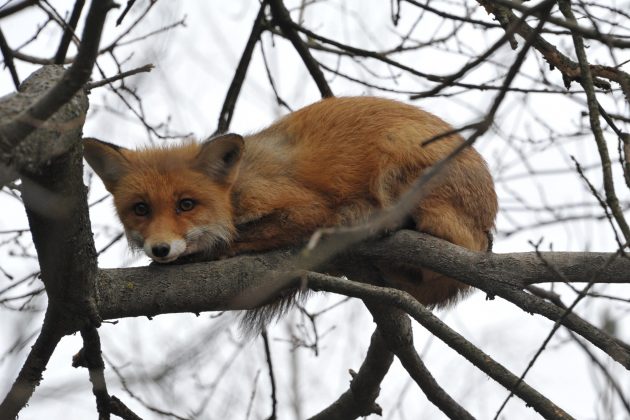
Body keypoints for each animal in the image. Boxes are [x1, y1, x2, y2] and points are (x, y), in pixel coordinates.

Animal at [84, 97, 498, 308]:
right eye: (141, 209)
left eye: (186, 204)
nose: (160, 248)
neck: (235, 194)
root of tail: (487, 231)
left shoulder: (307, 208)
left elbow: (239, 239)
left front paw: (204, 252)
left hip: (398, 152)